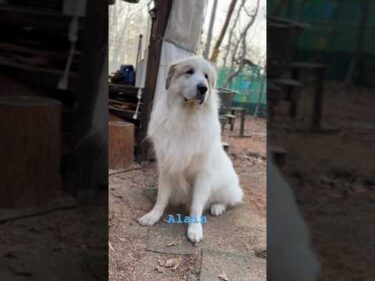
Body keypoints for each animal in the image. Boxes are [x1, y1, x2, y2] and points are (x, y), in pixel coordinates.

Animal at [138, 55, 244, 242]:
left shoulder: (203, 174)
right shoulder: (167, 168)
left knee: (228, 200)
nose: (203, 88)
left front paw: (195, 229)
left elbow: (196, 205)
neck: (186, 118)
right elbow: (161, 198)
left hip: (226, 186)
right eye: (189, 72)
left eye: (207, 77)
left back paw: (217, 207)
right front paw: (153, 216)